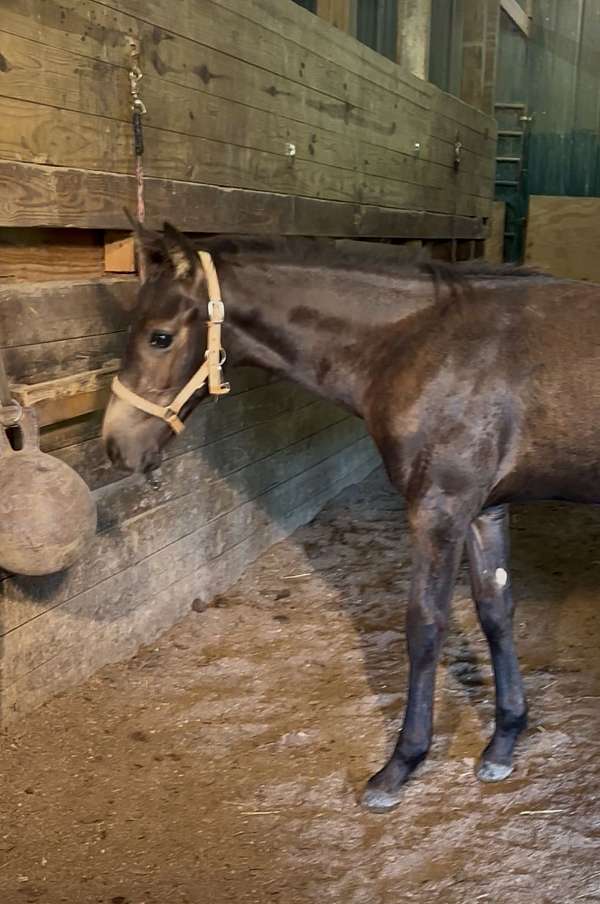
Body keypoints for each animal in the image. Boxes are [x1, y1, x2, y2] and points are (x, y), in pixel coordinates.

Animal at [102, 220, 600, 813]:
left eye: (159, 337)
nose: (115, 446)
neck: (424, 345)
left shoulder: (440, 509)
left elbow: (425, 627)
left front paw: (400, 766)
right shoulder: (485, 509)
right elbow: (496, 612)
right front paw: (503, 742)